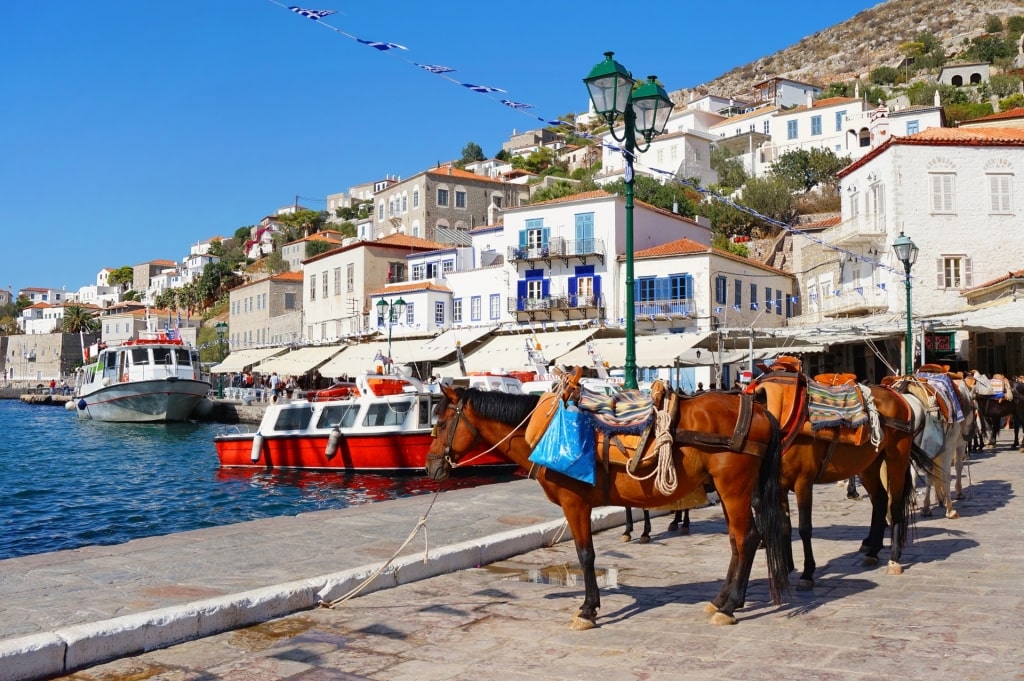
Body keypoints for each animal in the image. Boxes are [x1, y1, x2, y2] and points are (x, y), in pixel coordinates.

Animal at [423, 378, 790, 630]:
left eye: (440, 424)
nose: (430, 467)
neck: (544, 432)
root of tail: (758, 410)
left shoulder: (574, 503)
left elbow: (585, 554)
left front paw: (588, 610)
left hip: (733, 489)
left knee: (746, 539)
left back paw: (730, 607)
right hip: (729, 492)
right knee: (739, 541)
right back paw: (721, 600)